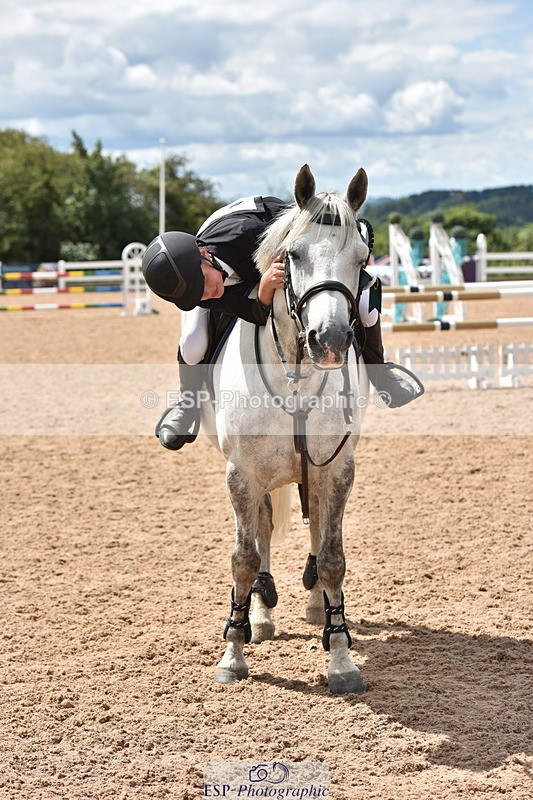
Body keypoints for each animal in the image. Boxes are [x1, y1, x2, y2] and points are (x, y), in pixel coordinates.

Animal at [201, 164, 370, 694]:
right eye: (293, 255)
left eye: (362, 259)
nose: (330, 340)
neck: (294, 372)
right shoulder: (242, 474)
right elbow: (244, 556)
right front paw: (233, 653)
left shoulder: (336, 469)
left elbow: (332, 556)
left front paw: (341, 658)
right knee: (263, 534)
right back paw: (259, 617)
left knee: (315, 531)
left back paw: (317, 608)